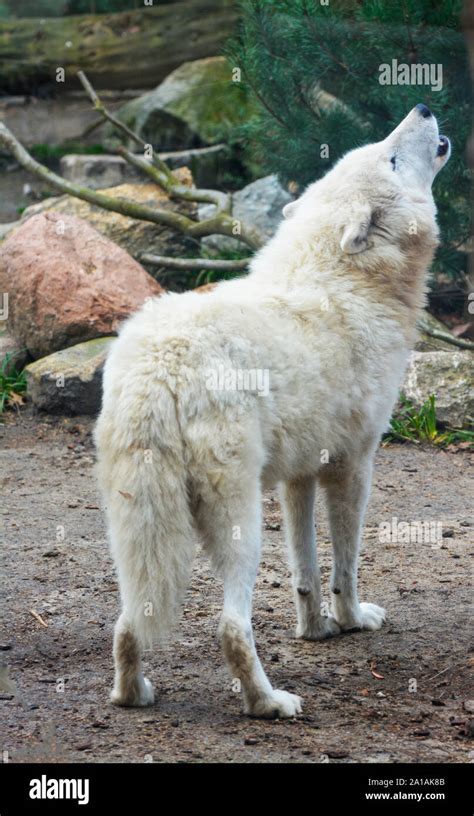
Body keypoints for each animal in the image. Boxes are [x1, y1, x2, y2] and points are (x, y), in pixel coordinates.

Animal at [94, 103, 450, 720]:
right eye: (391, 157)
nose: (423, 107)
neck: (348, 281)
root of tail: (161, 366)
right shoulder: (354, 466)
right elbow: (345, 565)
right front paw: (352, 621)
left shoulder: (299, 475)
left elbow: (305, 569)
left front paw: (314, 630)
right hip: (238, 522)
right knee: (231, 628)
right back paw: (269, 703)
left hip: (136, 528)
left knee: (128, 622)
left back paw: (132, 694)